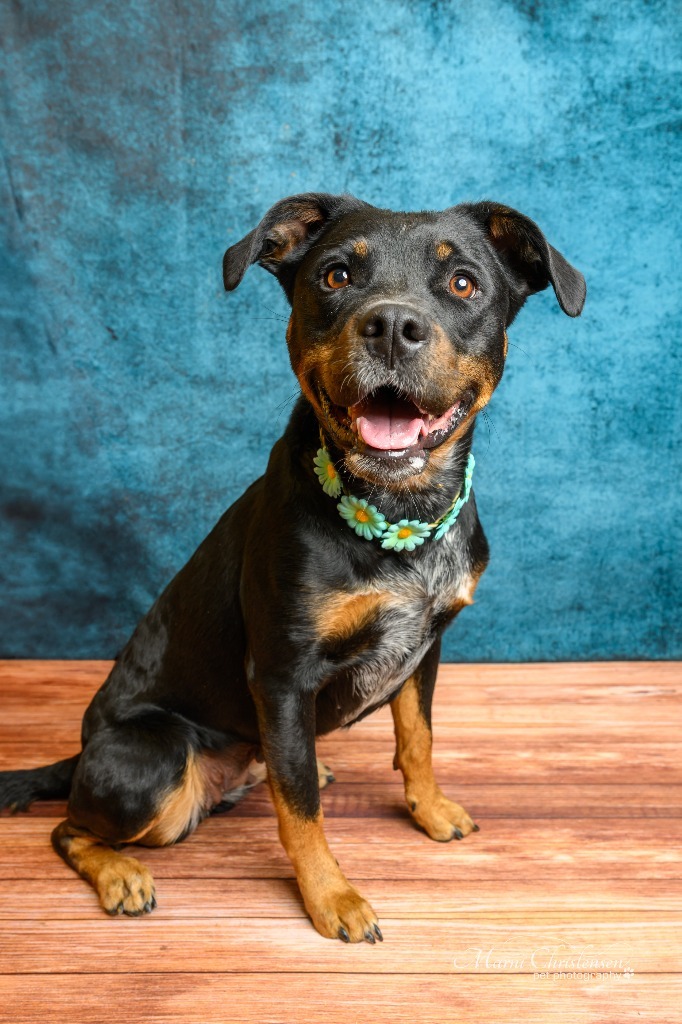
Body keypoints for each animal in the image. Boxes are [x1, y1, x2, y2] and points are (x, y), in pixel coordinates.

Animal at [1, 193, 585, 942]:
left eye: (463, 284)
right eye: (336, 276)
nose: (391, 327)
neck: (400, 511)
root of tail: (81, 755)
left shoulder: (426, 648)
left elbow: (417, 739)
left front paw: (430, 810)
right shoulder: (282, 676)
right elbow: (301, 808)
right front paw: (331, 897)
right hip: (154, 767)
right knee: (71, 828)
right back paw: (121, 874)